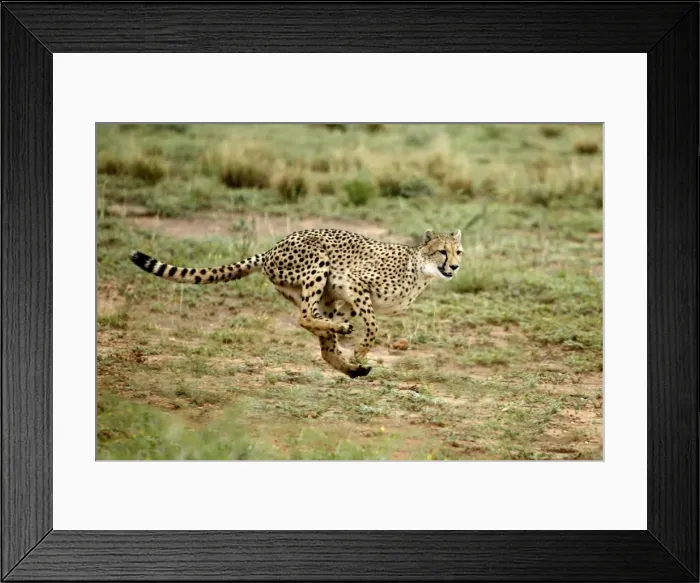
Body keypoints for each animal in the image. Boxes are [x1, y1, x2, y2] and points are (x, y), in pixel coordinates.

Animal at [129, 228, 463, 378]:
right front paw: (359, 350)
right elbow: (373, 325)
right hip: (318, 265)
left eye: (458, 251)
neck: (421, 269)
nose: (456, 266)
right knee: (303, 317)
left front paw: (352, 352)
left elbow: (354, 323)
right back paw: (346, 344)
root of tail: (271, 248)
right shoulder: (353, 282)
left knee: (319, 335)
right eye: (442, 251)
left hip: (319, 293)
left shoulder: (347, 298)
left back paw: (349, 363)